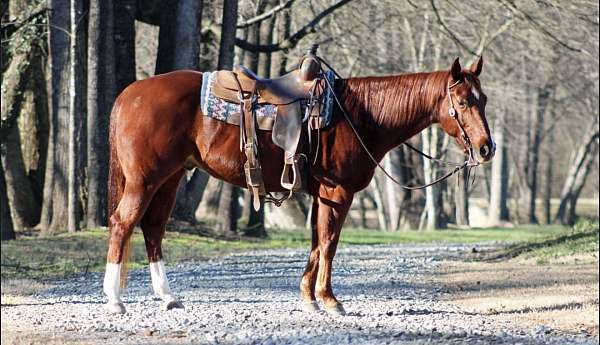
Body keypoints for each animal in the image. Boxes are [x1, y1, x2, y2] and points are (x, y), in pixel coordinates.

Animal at [103, 56, 494, 314]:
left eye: (484, 99)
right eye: (462, 101)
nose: (486, 148)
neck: (359, 115)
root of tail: (128, 94)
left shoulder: (321, 195)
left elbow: (316, 245)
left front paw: (309, 298)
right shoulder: (338, 193)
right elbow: (329, 244)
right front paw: (330, 300)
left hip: (169, 179)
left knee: (153, 229)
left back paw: (168, 296)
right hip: (144, 180)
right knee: (123, 224)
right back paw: (115, 299)